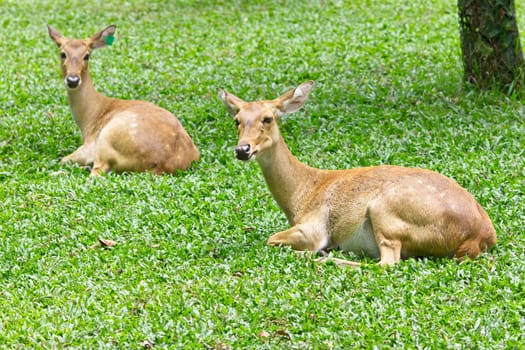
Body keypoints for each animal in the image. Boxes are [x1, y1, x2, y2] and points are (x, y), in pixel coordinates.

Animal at [47, 25, 199, 176]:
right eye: (62, 54)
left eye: (87, 56)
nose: (73, 80)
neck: (90, 118)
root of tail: (163, 165)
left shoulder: (89, 146)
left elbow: (64, 159)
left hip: (106, 140)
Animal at [217, 81, 496, 268]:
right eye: (237, 120)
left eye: (268, 118)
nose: (242, 149)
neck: (301, 195)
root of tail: (480, 236)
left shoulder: (314, 227)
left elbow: (271, 239)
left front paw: (317, 251)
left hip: (386, 211)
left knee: (387, 263)